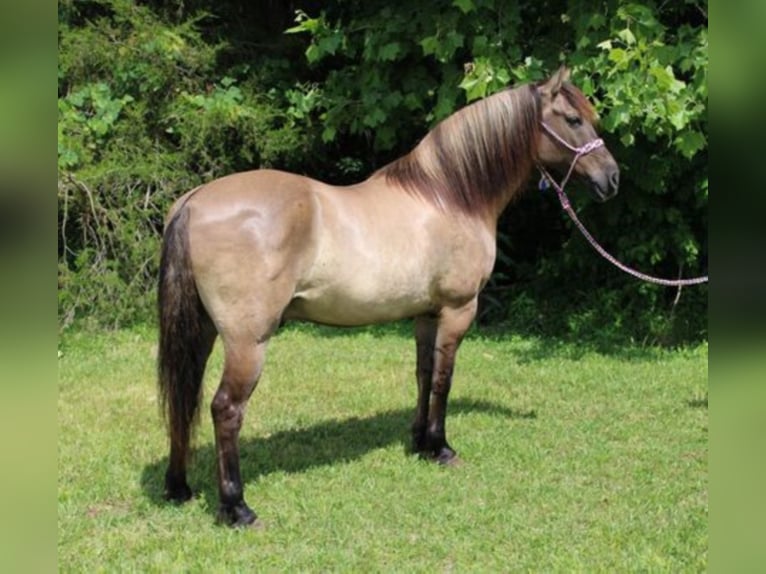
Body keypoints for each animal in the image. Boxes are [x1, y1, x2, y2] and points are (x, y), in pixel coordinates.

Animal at [159, 65, 620, 528]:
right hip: (247, 342)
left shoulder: (426, 313)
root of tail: (194, 202)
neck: (450, 196)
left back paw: (179, 488)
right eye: (573, 120)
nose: (612, 178)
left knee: (185, 395)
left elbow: (423, 374)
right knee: (225, 408)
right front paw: (442, 447)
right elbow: (444, 379)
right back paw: (236, 508)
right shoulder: (458, 309)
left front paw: (419, 443)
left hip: (202, 332)